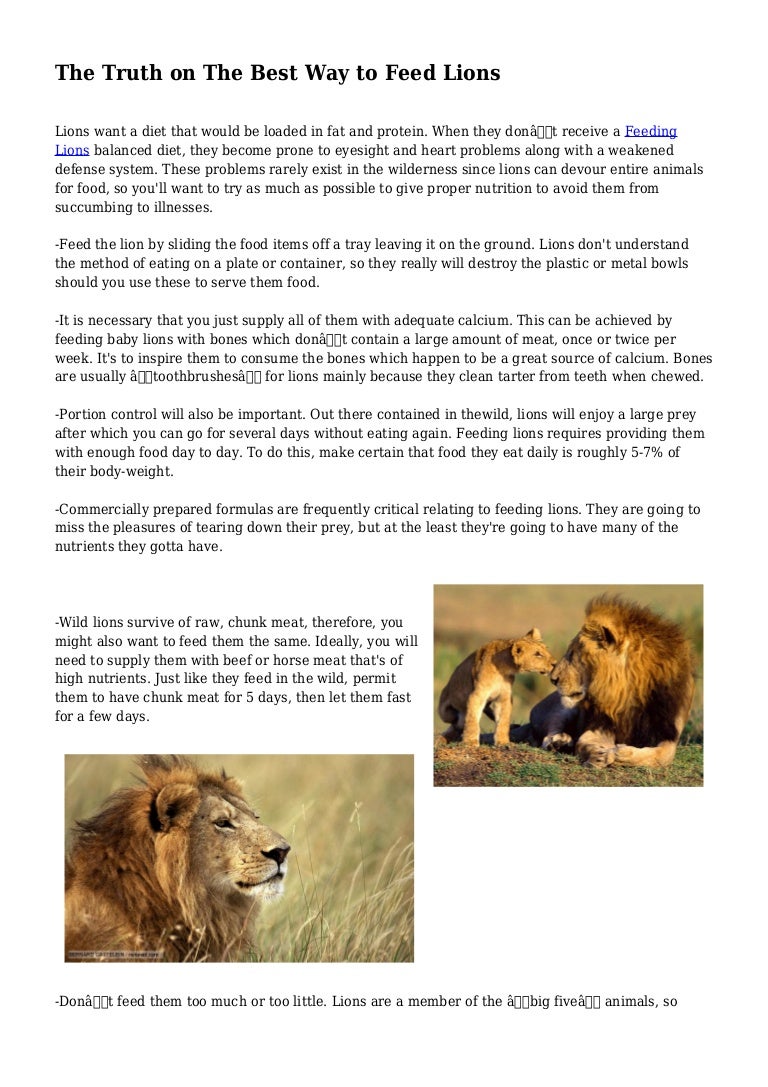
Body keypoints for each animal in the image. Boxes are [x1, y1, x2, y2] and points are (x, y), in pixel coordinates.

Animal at [531, 596, 695, 768]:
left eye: (572, 654)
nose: (553, 679)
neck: (630, 693)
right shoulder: (601, 724)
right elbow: (584, 742)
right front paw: (599, 755)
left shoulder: (668, 732)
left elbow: (664, 755)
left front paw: (622, 754)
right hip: (563, 706)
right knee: (550, 731)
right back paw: (558, 742)